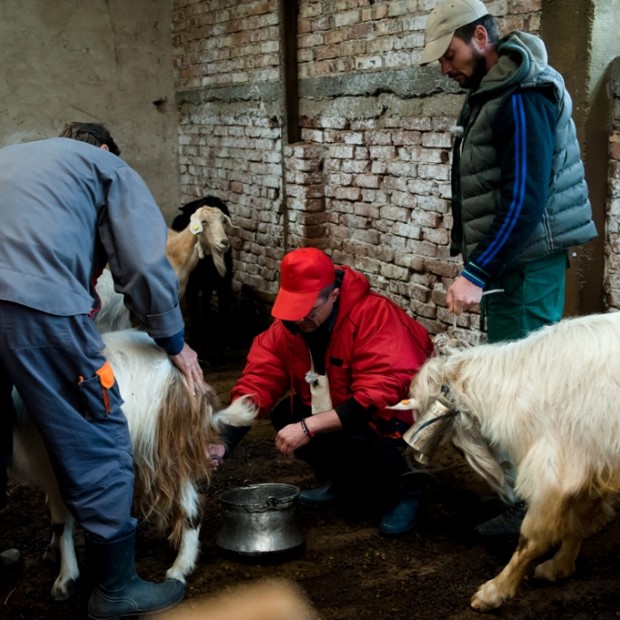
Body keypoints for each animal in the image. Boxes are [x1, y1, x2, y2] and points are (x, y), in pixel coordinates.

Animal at [7, 330, 254, 600]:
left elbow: (62, 523)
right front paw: (56, 558)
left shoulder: (59, 467)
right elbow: (56, 519)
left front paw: (65, 580)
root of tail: (185, 380)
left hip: (162, 449)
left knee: (191, 507)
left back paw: (180, 568)